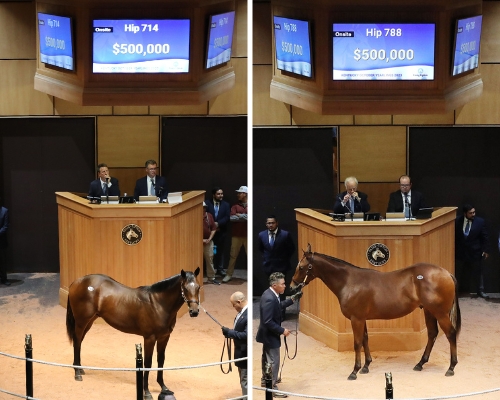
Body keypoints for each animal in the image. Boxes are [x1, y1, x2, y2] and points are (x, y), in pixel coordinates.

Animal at [66, 268, 201, 398]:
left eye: (198, 287)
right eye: (185, 288)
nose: (194, 312)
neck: (158, 303)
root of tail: (76, 282)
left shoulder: (164, 337)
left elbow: (161, 361)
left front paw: (163, 387)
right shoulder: (149, 338)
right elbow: (147, 363)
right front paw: (146, 392)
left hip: (89, 321)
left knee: (79, 342)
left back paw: (80, 369)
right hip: (81, 322)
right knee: (77, 341)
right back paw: (77, 373)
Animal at [292, 245, 462, 380]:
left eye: (301, 267)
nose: (293, 287)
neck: (349, 281)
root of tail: (446, 273)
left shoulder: (356, 319)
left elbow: (357, 343)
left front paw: (354, 371)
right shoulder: (361, 318)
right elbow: (365, 339)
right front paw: (366, 366)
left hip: (440, 313)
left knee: (451, 333)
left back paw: (451, 368)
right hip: (429, 311)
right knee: (432, 334)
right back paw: (420, 363)